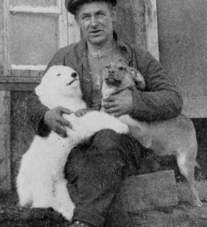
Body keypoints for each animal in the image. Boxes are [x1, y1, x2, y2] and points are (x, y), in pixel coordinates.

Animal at [102, 59, 202, 207]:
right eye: (107, 66)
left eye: (122, 68)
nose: (110, 71)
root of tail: (189, 121)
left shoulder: (140, 130)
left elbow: (126, 125)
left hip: (185, 163)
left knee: (193, 186)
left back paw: (197, 201)